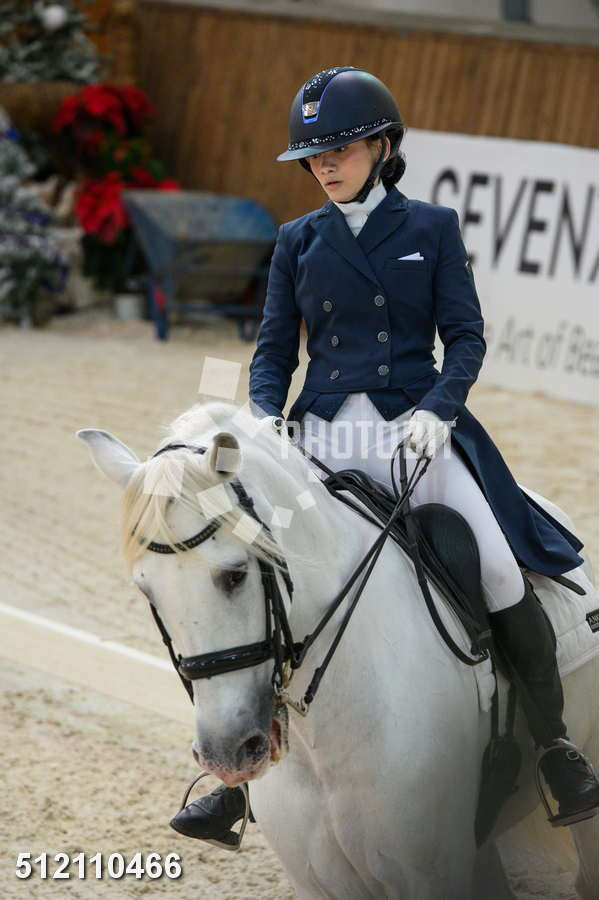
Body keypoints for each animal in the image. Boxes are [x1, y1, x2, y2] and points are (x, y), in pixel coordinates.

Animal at [77, 400, 599, 899]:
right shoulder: (317, 881)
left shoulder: (430, 874)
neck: (322, 743)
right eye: (146, 590)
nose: (226, 754)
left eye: (236, 574)